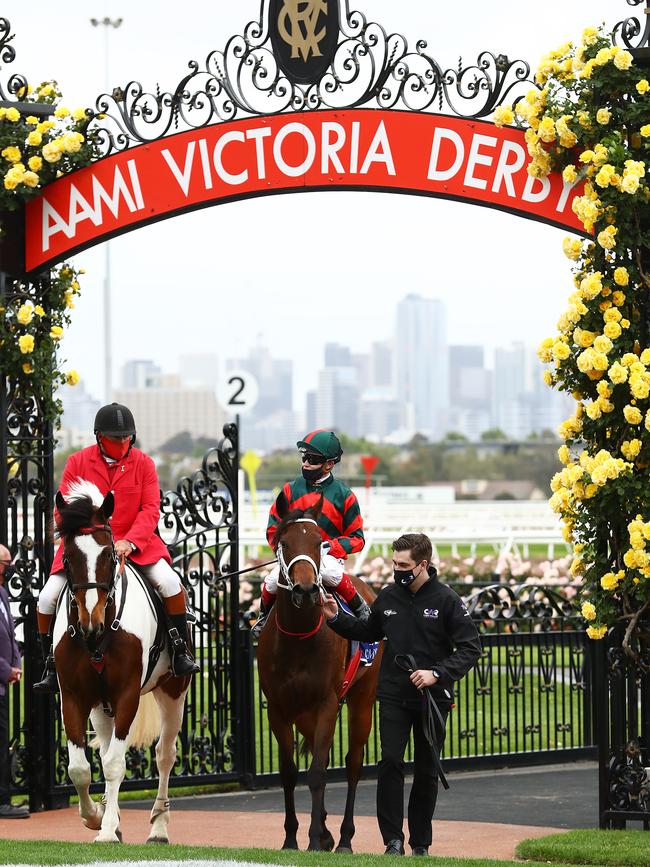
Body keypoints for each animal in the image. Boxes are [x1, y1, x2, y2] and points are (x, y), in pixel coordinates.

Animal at [52, 478, 189, 844]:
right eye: (68, 558)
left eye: (110, 555)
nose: (91, 623)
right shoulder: (74, 697)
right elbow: (80, 768)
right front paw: (95, 818)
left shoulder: (127, 695)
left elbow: (115, 765)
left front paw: (108, 830)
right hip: (101, 706)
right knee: (103, 751)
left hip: (173, 692)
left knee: (164, 755)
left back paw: (158, 826)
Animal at [256, 492, 380, 852]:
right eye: (284, 542)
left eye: (319, 542)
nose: (306, 590)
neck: (299, 637)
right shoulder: (279, 708)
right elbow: (289, 772)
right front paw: (291, 839)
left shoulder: (327, 703)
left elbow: (317, 774)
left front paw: (313, 838)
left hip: (362, 698)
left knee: (353, 763)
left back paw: (345, 838)